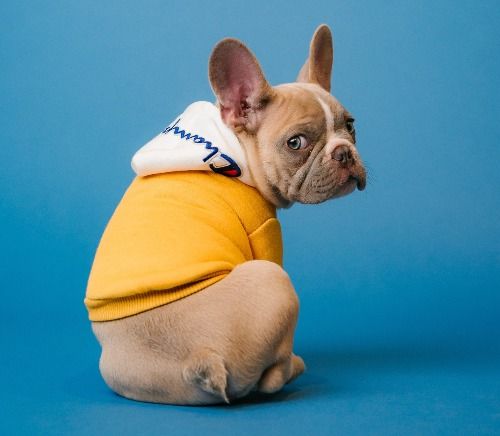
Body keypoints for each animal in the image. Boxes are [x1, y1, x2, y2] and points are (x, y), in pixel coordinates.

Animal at [86, 24, 366, 406]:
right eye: (296, 143)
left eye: (351, 126)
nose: (344, 153)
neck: (236, 151)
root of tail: (198, 357)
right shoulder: (265, 232)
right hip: (272, 280)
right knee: (269, 379)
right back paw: (293, 366)